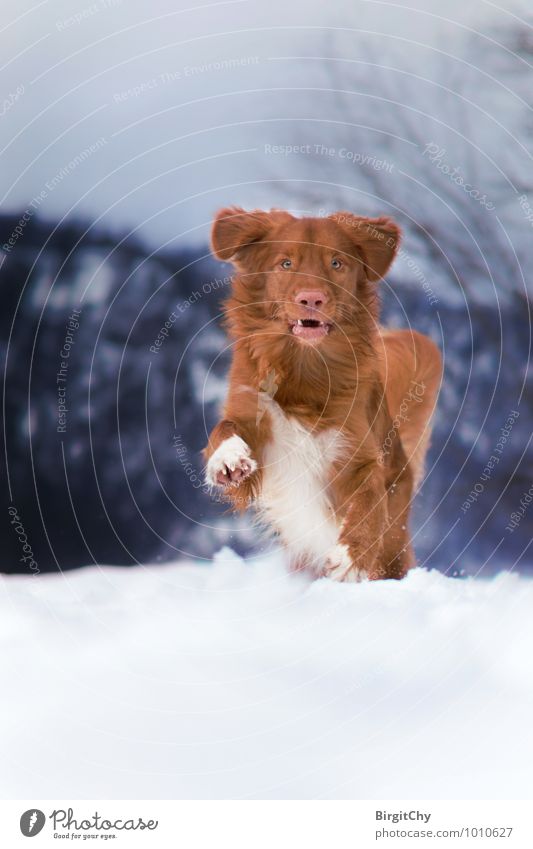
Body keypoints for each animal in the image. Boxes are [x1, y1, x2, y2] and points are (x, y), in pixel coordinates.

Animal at [204, 208, 440, 580]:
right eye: (285, 263)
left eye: (336, 263)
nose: (311, 299)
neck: (306, 368)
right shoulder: (256, 427)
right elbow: (225, 429)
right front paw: (227, 458)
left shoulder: (357, 452)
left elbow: (369, 496)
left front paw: (351, 556)